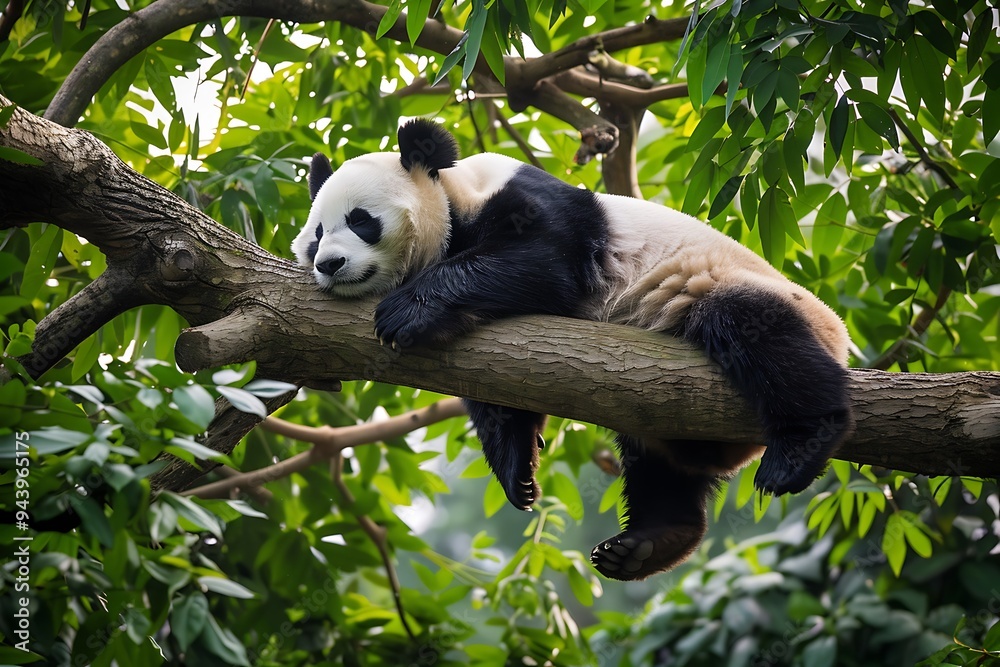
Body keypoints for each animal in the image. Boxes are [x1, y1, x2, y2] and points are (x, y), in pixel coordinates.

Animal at [292, 119, 852, 581]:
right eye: (316, 233)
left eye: (361, 220)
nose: (329, 264)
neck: (454, 196)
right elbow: (494, 393)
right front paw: (517, 471)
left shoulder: (534, 208)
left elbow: (544, 263)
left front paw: (405, 312)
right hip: (670, 414)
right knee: (664, 463)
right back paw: (647, 544)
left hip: (728, 288)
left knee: (761, 336)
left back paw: (798, 450)